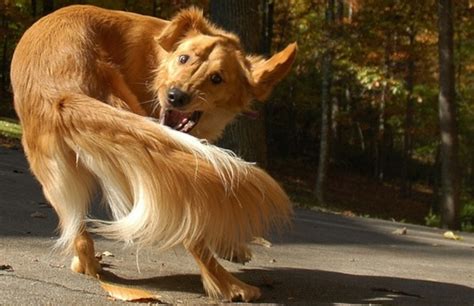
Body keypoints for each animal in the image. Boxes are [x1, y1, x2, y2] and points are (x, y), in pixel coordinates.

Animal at [10, 4, 296, 302]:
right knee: (191, 225)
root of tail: (61, 88)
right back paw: (229, 284)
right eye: (183, 58)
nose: (175, 96)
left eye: (217, 78)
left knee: (80, 236)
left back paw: (87, 264)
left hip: (62, 174)